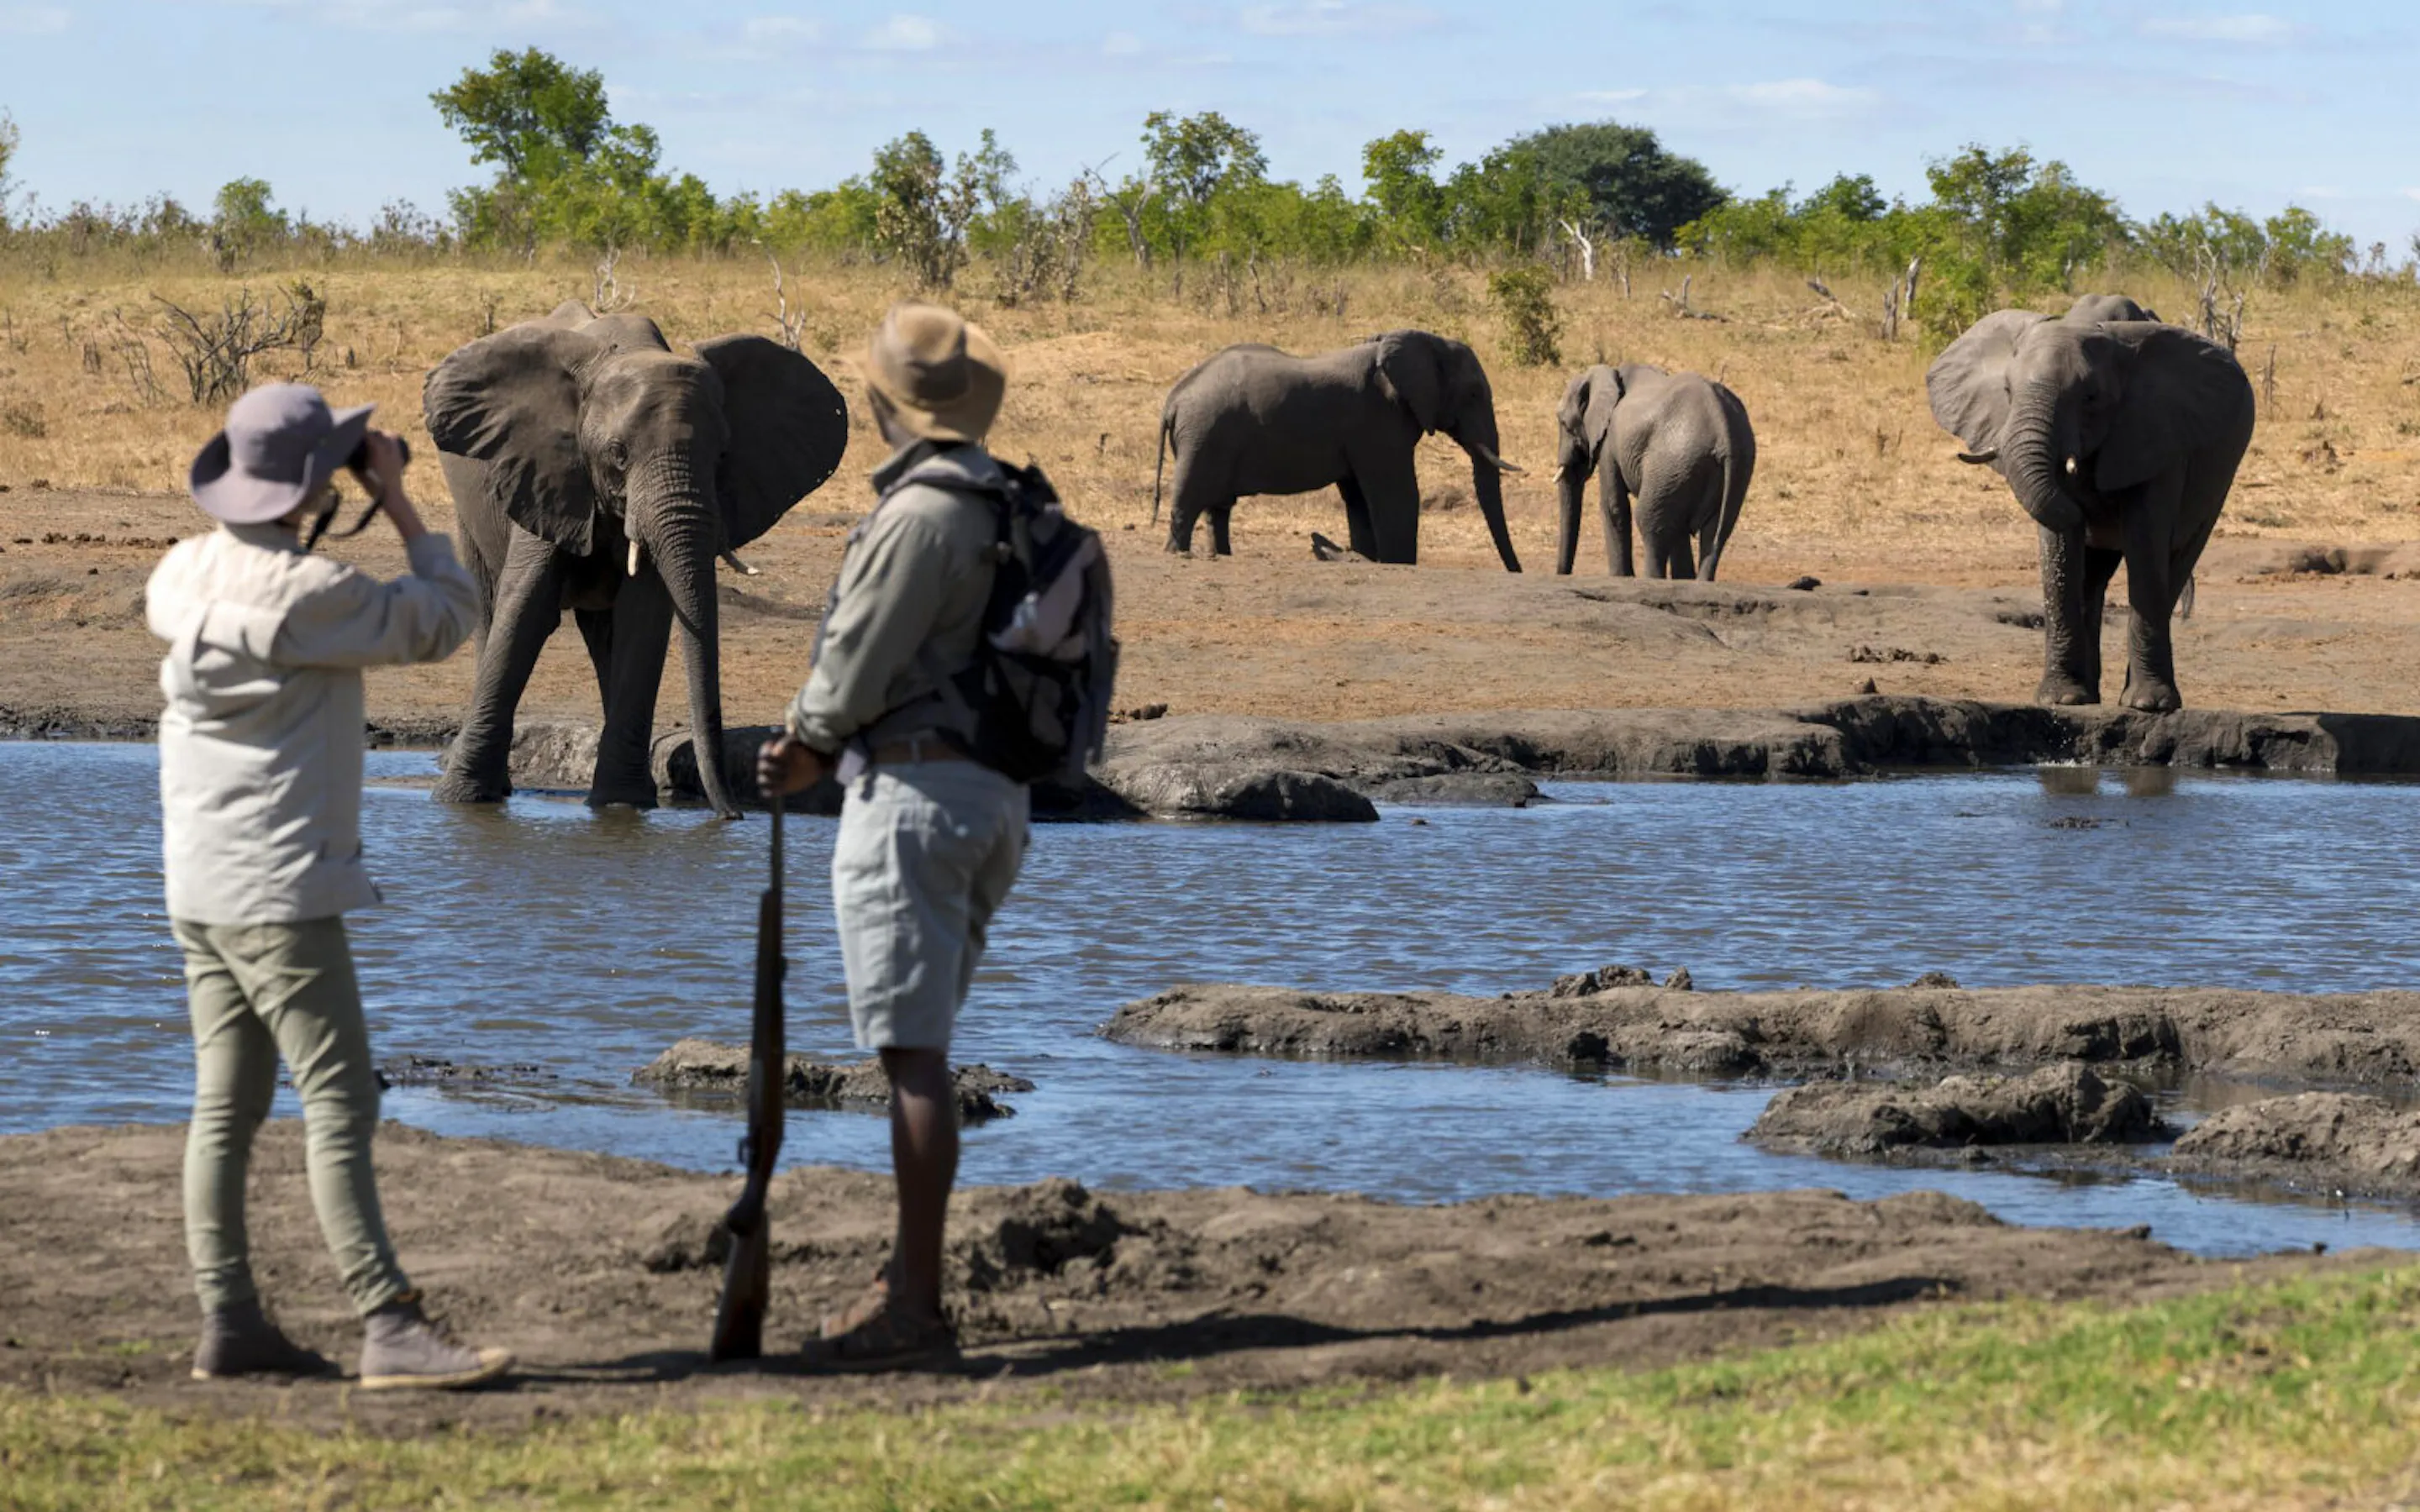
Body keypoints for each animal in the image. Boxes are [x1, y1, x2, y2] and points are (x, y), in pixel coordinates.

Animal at [423, 302, 848, 816]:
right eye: (618, 455)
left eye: (722, 455)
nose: (732, 815)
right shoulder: (546, 474)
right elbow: (526, 609)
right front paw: (459, 801)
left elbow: (642, 618)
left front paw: (622, 806)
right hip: (471, 509)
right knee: (489, 610)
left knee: (604, 633)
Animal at [1150, 330, 1524, 569]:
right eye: (1473, 394)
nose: (1514, 571)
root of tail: (1174, 398)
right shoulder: (1378, 421)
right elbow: (1398, 495)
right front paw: (1400, 564)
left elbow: (1359, 499)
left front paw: (1370, 559)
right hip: (1204, 435)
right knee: (1188, 504)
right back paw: (1177, 555)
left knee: (1218, 509)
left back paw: (1221, 556)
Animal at [1551, 364, 1755, 579]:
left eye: (1563, 423)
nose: (1564, 574)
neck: (1609, 374)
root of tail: (1722, 429)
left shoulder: (1608, 442)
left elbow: (1613, 507)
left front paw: (1622, 577)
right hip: (1723, 467)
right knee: (1712, 532)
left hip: (1671, 462)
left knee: (1650, 523)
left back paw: (1652, 578)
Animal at [1926, 306, 2253, 711]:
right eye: (2007, 392)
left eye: (2091, 398)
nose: (2090, 505)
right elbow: (2061, 550)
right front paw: (2061, 699)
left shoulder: (2157, 435)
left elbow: (2145, 541)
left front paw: (2149, 705)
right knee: (2093, 580)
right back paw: (2089, 695)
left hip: (2220, 480)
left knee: (2177, 561)